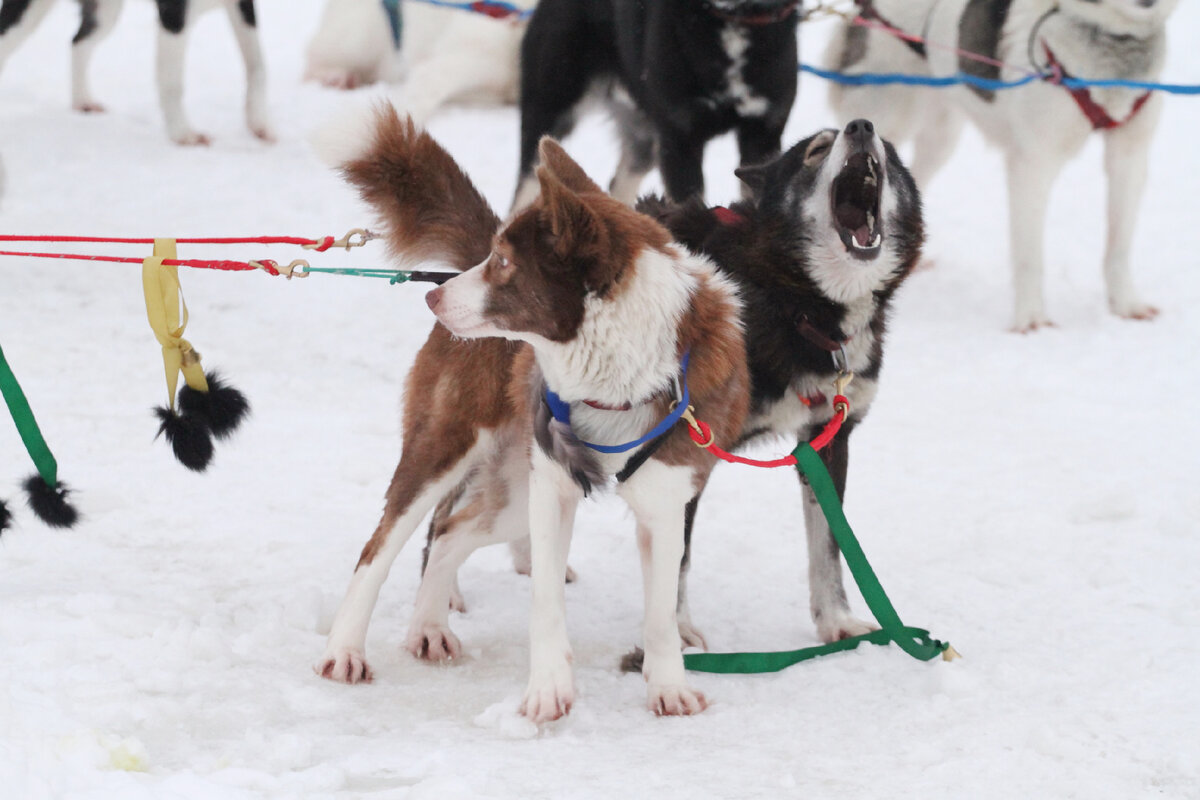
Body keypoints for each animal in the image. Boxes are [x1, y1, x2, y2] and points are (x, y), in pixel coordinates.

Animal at [316, 106, 748, 719]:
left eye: (502, 263)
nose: (434, 296)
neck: (617, 374)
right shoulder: (553, 490)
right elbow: (544, 600)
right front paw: (548, 689)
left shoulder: (665, 503)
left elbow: (663, 613)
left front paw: (668, 687)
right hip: (452, 450)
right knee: (380, 548)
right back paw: (344, 649)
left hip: (513, 492)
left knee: (449, 534)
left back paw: (427, 625)